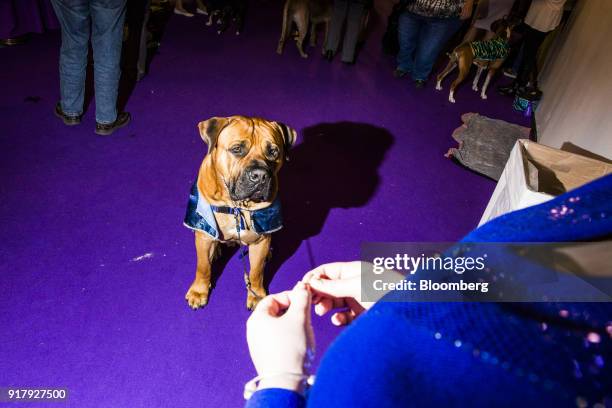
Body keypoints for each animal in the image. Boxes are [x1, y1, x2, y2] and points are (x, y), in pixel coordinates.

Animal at [183, 115, 296, 310]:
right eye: (237, 149)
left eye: (273, 152)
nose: (260, 175)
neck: (236, 206)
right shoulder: (204, 236)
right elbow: (203, 266)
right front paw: (199, 291)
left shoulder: (261, 239)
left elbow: (256, 272)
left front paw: (256, 295)